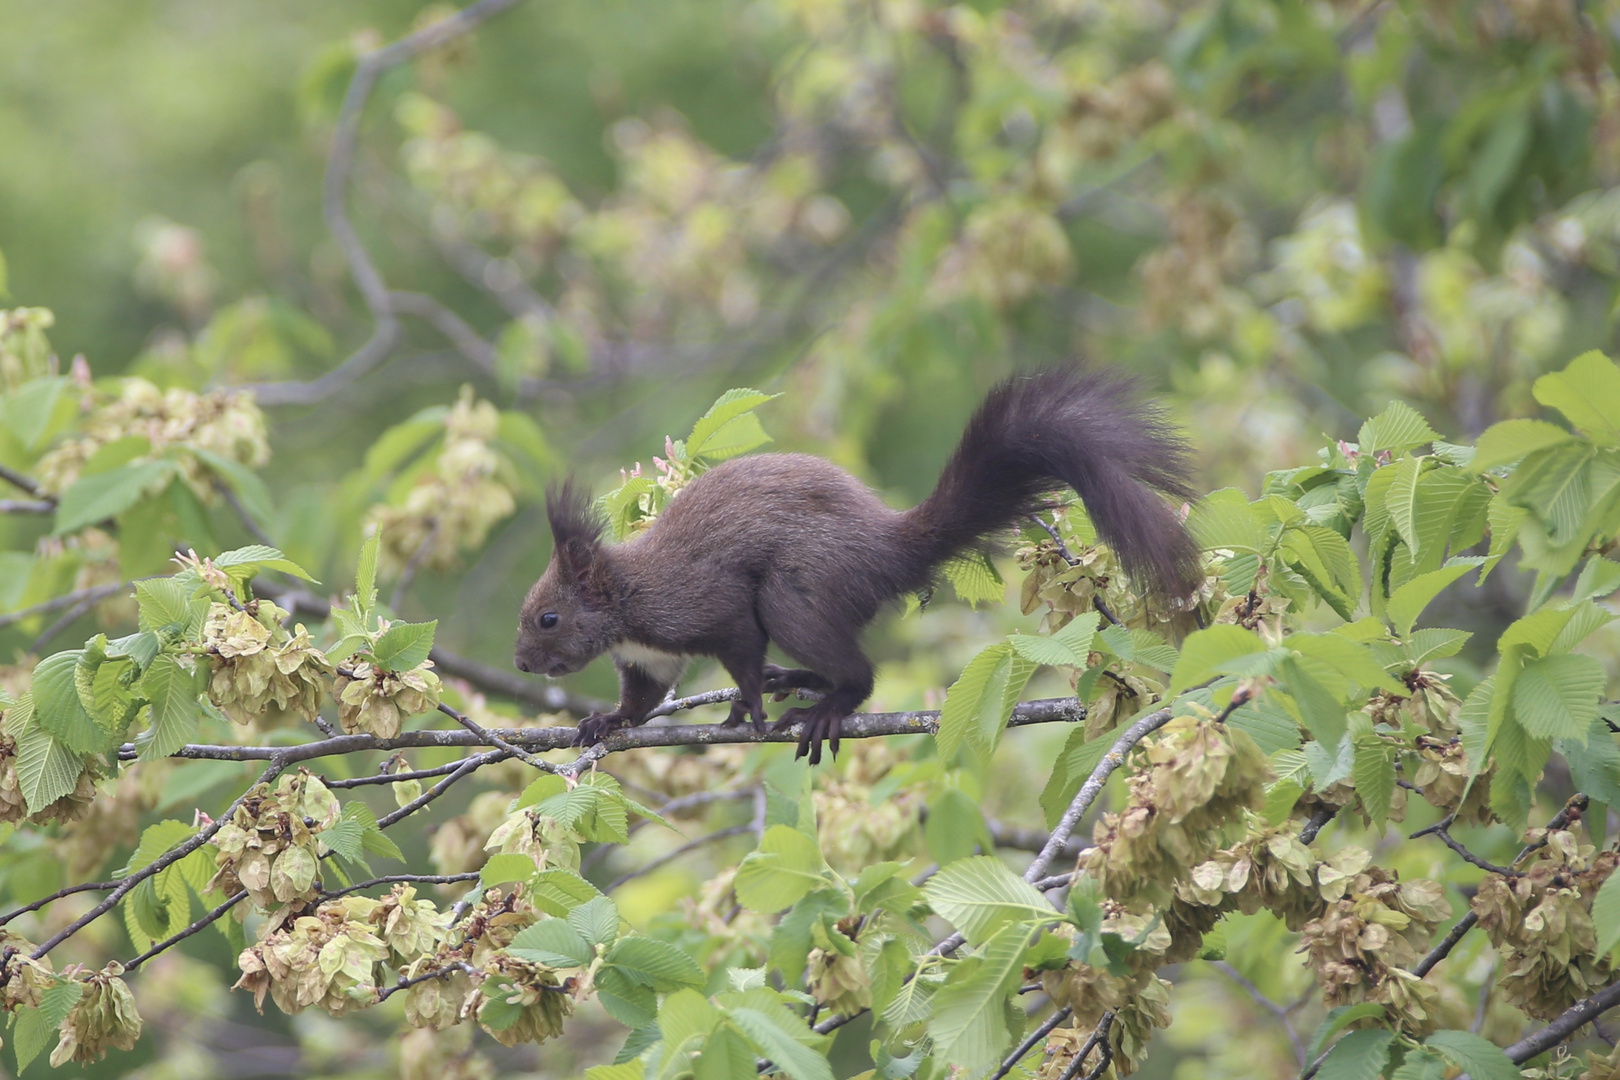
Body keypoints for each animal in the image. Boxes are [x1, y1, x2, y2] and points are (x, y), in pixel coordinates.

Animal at [515, 367, 1205, 764]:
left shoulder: (702, 601)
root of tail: (887, 546)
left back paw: (823, 703)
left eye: (549, 617)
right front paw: (606, 720)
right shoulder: (646, 659)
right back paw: (796, 679)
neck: (626, 602)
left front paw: (746, 708)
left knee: (857, 673)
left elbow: (739, 645)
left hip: (798, 591)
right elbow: (641, 700)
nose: (521, 664)